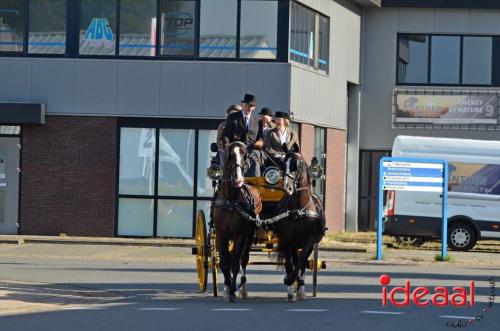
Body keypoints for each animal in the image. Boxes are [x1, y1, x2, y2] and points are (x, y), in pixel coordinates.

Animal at [211, 143, 262, 304]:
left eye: (244, 156)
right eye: (230, 156)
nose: (239, 180)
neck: (231, 200)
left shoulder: (240, 235)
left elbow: (235, 263)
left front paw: (233, 291)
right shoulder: (221, 234)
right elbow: (224, 262)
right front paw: (227, 288)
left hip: (249, 236)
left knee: (243, 259)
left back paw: (242, 289)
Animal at [274, 145, 324, 304]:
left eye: (297, 165)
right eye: (283, 164)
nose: (287, 188)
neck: (298, 210)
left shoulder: (309, 240)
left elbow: (301, 261)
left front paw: (295, 283)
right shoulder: (286, 240)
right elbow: (289, 264)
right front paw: (289, 285)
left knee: (302, 261)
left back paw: (300, 288)